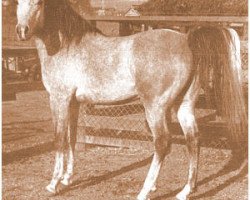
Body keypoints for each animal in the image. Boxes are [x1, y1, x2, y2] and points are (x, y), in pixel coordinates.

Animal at [15, 0, 246, 200]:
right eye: (17, 2)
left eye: (39, 3)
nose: (21, 30)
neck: (67, 46)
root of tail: (186, 40)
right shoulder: (73, 103)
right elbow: (71, 138)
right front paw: (67, 178)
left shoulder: (59, 99)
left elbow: (59, 139)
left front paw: (53, 184)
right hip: (184, 106)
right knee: (193, 139)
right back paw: (185, 191)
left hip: (154, 108)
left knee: (162, 142)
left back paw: (145, 191)